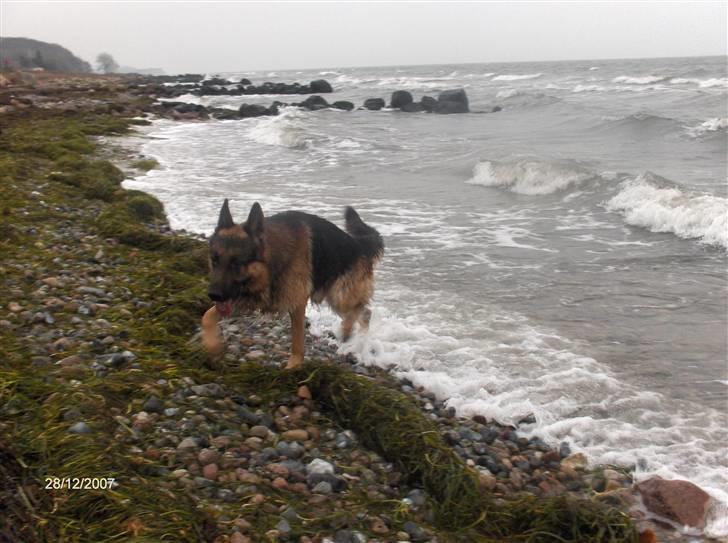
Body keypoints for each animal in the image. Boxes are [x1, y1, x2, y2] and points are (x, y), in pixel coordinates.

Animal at [199, 200, 382, 370]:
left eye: (236, 264)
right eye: (214, 260)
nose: (213, 295)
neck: (271, 263)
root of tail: (360, 245)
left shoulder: (297, 303)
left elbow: (297, 341)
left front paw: (293, 366)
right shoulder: (242, 299)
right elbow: (206, 317)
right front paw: (213, 348)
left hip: (340, 295)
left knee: (360, 311)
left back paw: (348, 332)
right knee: (364, 314)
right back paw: (359, 339)